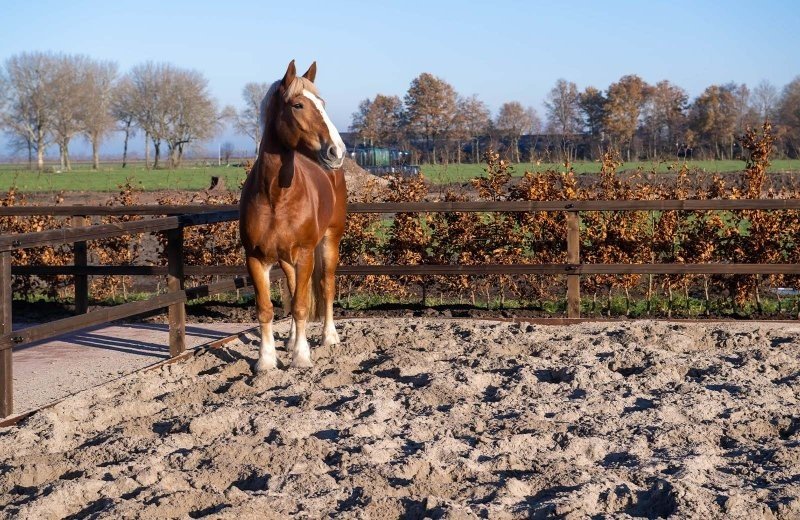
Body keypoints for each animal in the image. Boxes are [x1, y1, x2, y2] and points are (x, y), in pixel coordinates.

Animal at [239, 60, 347, 371]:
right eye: (298, 105)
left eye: (322, 103)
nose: (337, 151)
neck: (276, 197)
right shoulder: (255, 258)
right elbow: (266, 309)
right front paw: (266, 361)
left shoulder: (306, 253)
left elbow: (300, 305)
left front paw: (301, 356)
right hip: (287, 258)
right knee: (293, 285)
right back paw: (288, 340)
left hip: (329, 243)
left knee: (326, 285)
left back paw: (328, 336)